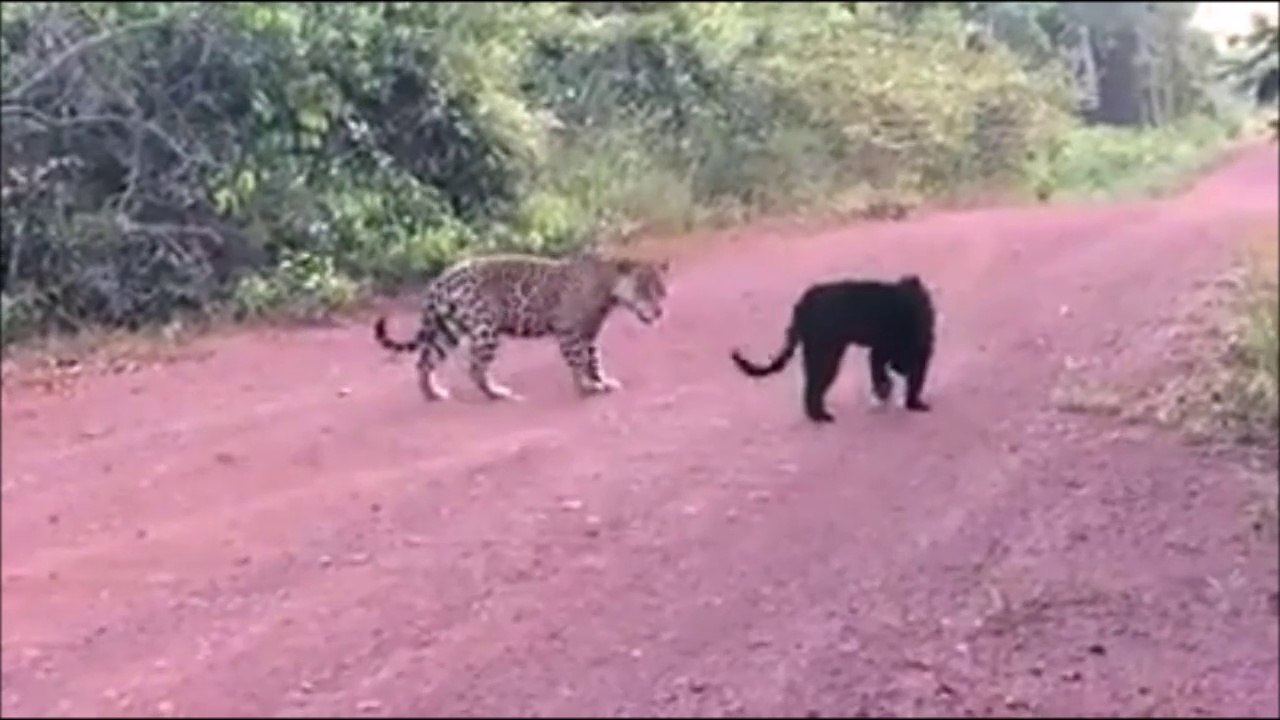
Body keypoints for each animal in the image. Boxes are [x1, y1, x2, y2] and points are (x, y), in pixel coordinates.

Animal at [373, 252, 670, 402]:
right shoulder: (568, 330)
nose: (658, 311)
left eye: (661, 290)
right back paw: (497, 393)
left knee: (425, 360)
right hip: (485, 328)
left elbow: (593, 359)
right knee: (475, 367)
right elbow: (578, 360)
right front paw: (587, 387)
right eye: (644, 289)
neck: (607, 288)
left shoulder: (589, 332)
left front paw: (601, 381)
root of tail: (442, 278)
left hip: (450, 328)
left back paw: (433, 393)